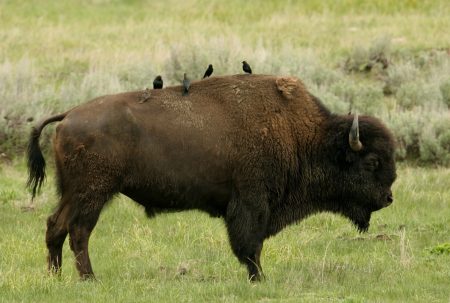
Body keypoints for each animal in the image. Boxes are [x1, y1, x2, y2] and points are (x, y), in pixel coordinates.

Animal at [26, 74, 396, 282]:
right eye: (372, 162)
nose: (389, 198)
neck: (302, 135)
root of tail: (68, 115)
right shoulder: (251, 203)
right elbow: (250, 245)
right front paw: (259, 279)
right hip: (93, 193)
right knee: (78, 232)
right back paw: (89, 279)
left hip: (73, 193)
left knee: (55, 226)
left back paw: (56, 277)